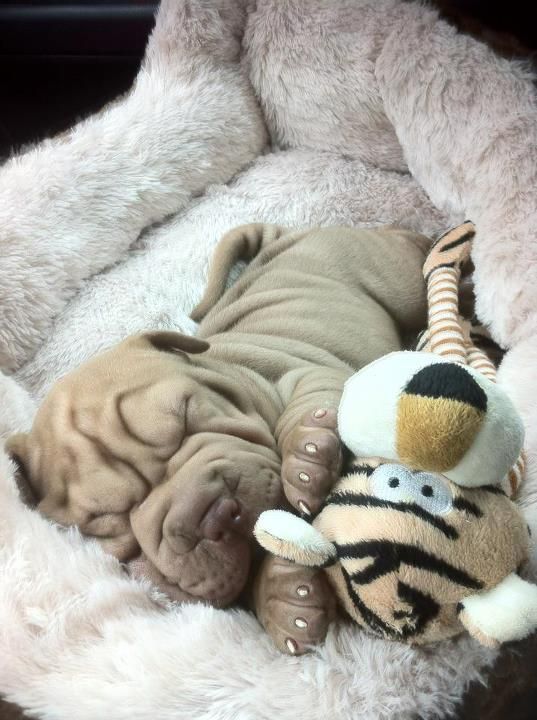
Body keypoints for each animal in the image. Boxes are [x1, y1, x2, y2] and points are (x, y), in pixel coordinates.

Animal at [7, 224, 428, 652]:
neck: (230, 374)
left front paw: (307, 457)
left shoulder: (304, 371)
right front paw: (285, 597)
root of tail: (286, 236)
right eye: (111, 520)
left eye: (188, 414)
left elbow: (312, 402)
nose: (215, 514)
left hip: (394, 277)